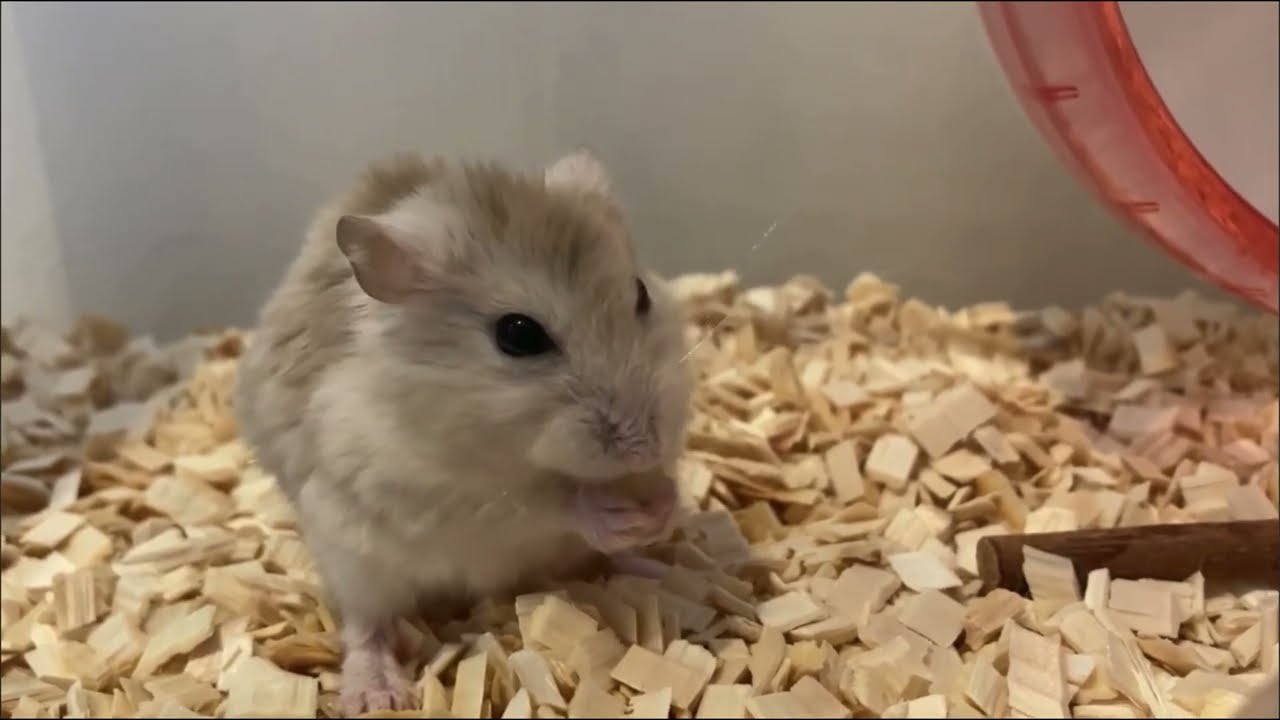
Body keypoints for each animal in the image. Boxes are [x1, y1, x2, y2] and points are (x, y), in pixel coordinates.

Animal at [234, 150, 692, 714]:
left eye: (641, 294)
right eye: (518, 334)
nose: (644, 447)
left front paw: (663, 505)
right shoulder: (434, 495)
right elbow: (545, 504)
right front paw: (609, 509)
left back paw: (661, 567)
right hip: (352, 563)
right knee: (366, 625)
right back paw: (378, 696)